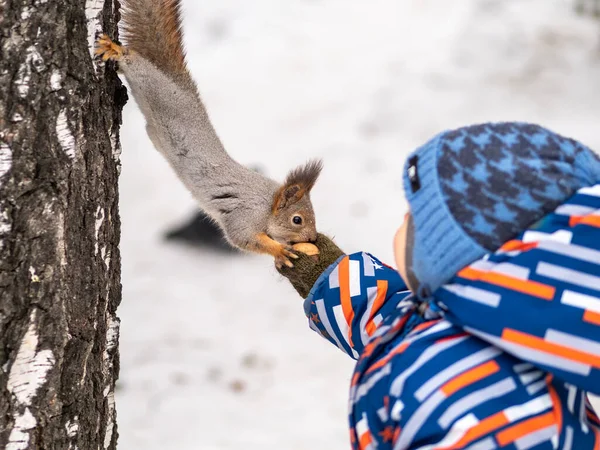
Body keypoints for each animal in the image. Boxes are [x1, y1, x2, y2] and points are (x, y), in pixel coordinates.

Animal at [95, 0, 324, 268]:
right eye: (297, 219)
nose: (313, 238)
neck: (267, 205)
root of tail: (180, 85)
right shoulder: (245, 215)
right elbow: (243, 239)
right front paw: (279, 251)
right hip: (158, 90)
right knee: (137, 64)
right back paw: (115, 50)